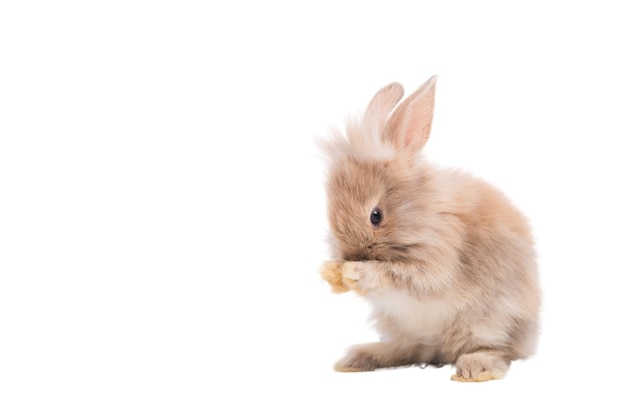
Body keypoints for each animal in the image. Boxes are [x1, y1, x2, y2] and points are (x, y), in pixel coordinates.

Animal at [320, 76, 540, 382]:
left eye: (376, 216)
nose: (349, 256)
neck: (421, 213)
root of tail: (441, 350)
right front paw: (332, 273)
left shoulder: (437, 264)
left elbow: (401, 277)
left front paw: (356, 272)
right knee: (410, 349)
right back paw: (358, 358)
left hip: (490, 321)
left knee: (496, 349)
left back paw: (473, 369)